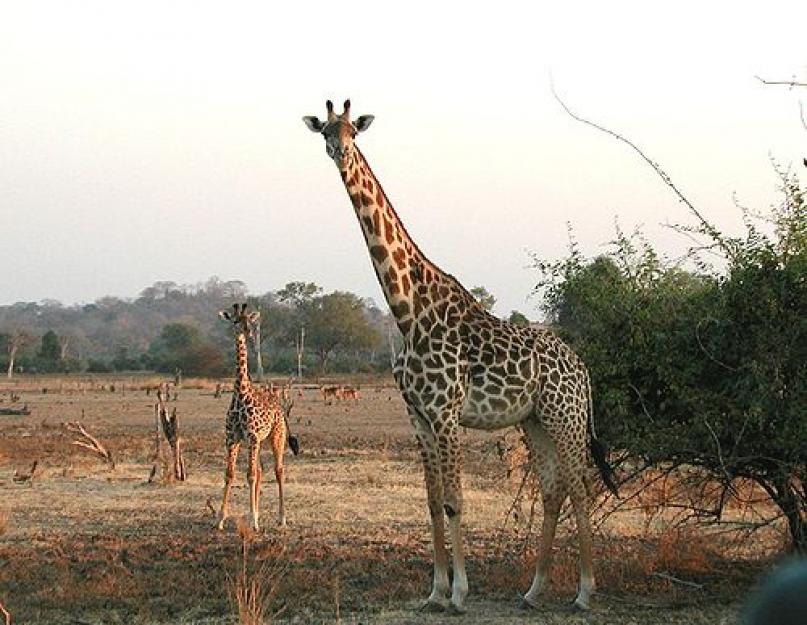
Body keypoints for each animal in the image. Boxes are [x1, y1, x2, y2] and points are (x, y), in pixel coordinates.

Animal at [218, 302, 300, 532]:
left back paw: (281, 517)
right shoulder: (232, 438)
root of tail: (280, 406)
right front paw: (220, 519)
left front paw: (254, 522)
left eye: (249, 320)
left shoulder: (252, 437)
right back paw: (255, 514)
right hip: (259, 441)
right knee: (262, 470)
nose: (247, 332)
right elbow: (230, 474)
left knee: (278, 469)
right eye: (235, 320)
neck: (240, 393)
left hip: (276, 436)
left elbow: (250, 475)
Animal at [304, 100, 620, 612]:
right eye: (326, 132)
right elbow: (433, 504)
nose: (340, 152)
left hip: (566, 417)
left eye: (354, 131)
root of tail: (582, 367)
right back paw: (533, 590)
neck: (408, 313)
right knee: (553, 490)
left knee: (580, 487)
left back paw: (584, 593)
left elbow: (455, 502)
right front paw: (433, 591)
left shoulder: (447, 414)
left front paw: (458, 594)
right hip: (534, 422)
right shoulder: (418, 417)